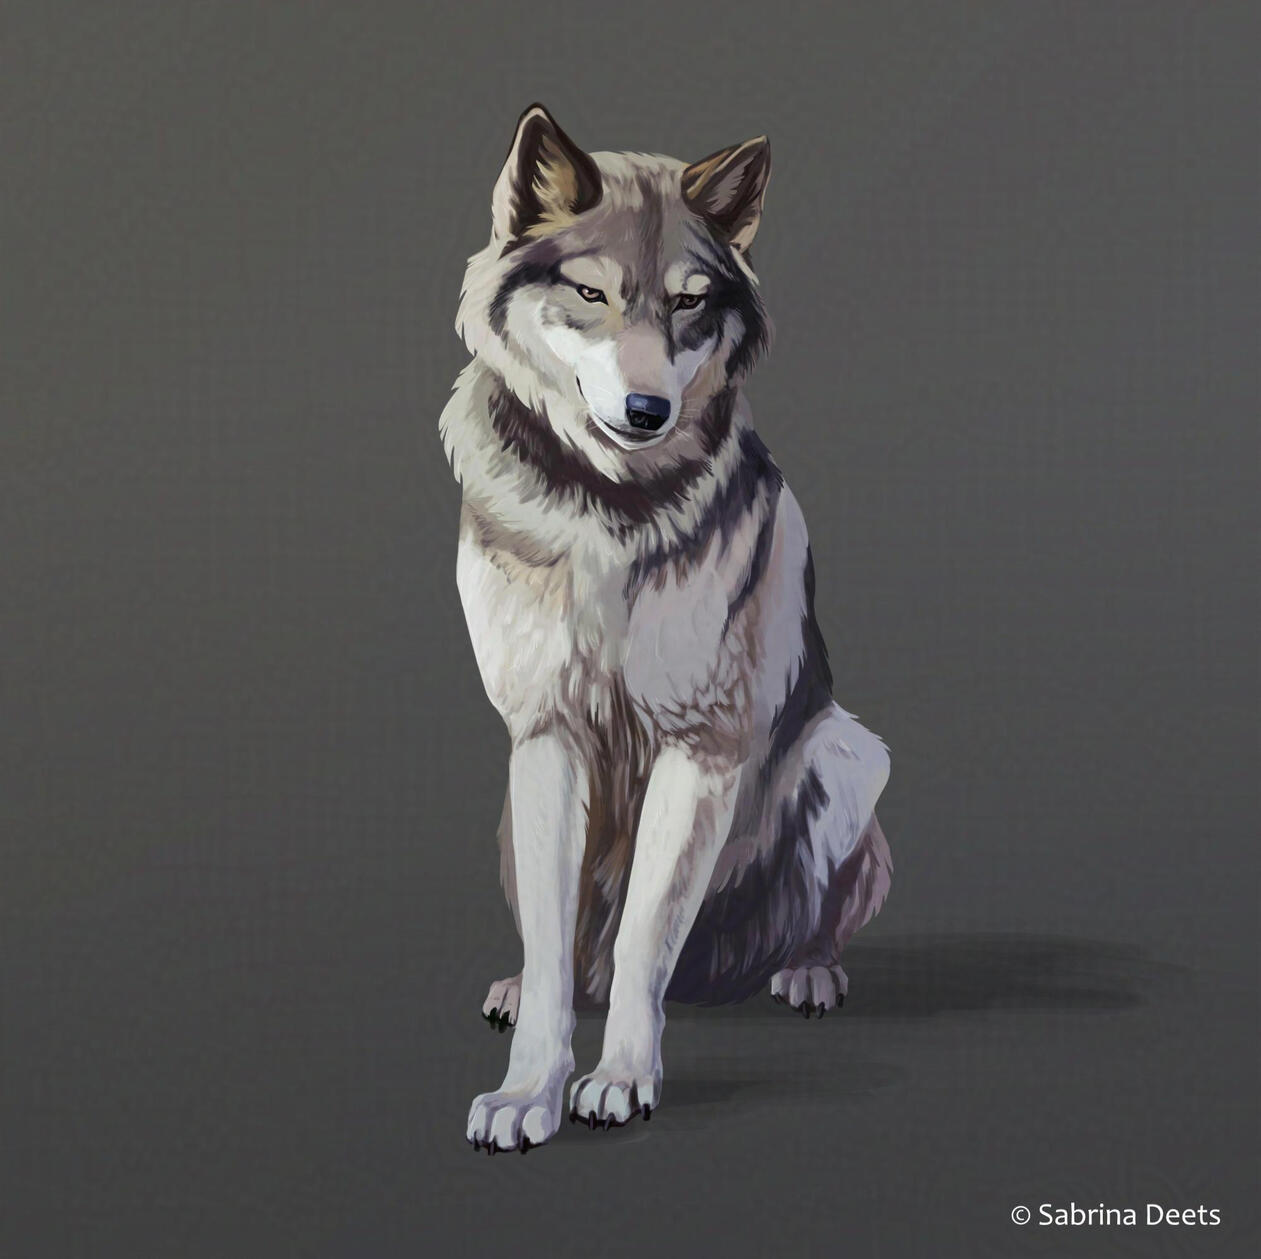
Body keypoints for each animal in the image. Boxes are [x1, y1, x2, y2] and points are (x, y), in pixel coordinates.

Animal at [440, 105, 892, 1153]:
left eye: (689, 305)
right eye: (590, 293)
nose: (646, 410)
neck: (607, 509)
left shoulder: (701, 747)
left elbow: (649, 928)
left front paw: (620, 1080)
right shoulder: (546, 735)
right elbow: (558, 950)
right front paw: (527, 1091)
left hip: (847, 754)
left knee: (770, 925)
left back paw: (806, 969)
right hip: (510, 813)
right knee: (572, 951)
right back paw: (521, 985)